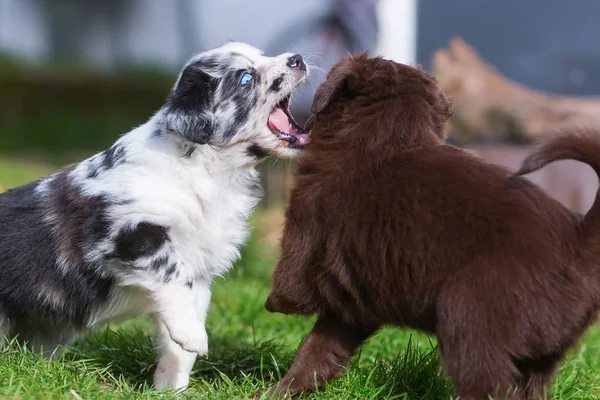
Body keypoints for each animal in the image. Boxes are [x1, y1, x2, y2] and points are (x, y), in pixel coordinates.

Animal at [0, 42, 310, 392]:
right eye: (245, 78)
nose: (297, 58)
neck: (207, 171)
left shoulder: (199, 270)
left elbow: (181, 321)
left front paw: (171, 386)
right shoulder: (127, 233)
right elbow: (173, 275)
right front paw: (193, 337)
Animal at [262, 54, 600, 400]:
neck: (385, 136)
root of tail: (579, 239)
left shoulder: (303, 231)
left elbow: (292, 289)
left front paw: (272, 306)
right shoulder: (354, 301)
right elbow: (318, 349)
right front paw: (283, 390)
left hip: (469, 320)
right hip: (540, 359)